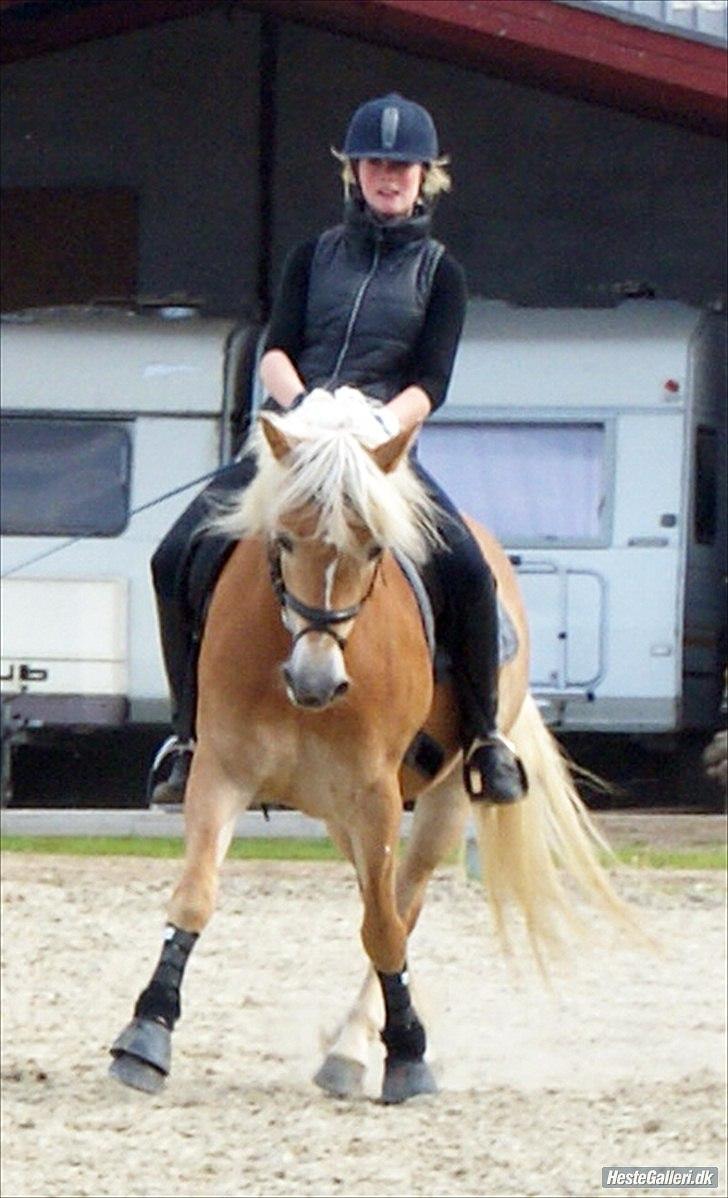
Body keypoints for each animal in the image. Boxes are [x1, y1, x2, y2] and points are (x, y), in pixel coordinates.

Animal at [107, 388, 632, 1097]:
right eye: (283, 538)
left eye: (375, 547)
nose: (315, 680)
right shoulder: (222, 772)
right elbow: (194, 897)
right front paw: (147, 1033)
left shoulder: (375, 792)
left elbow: (384, 929)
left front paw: (405, 1053)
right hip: (335, 810)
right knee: (379, 897)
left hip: (442, 800)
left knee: (402, 904)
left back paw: (354, 1048)